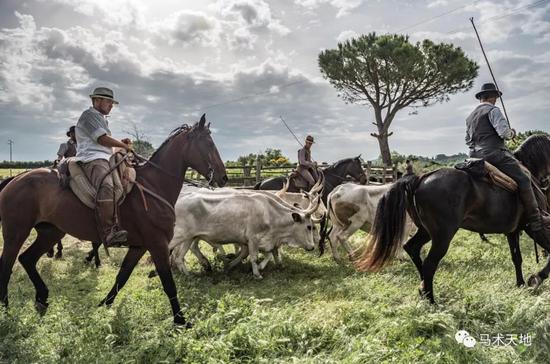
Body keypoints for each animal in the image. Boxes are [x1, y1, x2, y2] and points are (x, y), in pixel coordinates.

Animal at [0, 115, 226, 326]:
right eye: (208, 143)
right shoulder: (157, 243)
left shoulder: (139, 246)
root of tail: (15, 179)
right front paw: (181, 320)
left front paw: (103, 305)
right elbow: (168, 282)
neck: (153, 185)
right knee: (7, 264)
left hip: (51, 232)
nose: (223, 178)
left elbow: (122, 277)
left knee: (27, 259)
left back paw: (42, 299)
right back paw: (6, 309)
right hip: (16, 233)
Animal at [170, 188, 322, 278]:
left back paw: (189, 276)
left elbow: (266, 254)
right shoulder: (253, 239)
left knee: (180, 257)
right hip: (177, 236)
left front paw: (231, 265)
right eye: (310, 227)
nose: (312, 247)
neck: (269, 213)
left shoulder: (258, 242)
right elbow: (254, 257)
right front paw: (257, 273)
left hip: (189, 238)